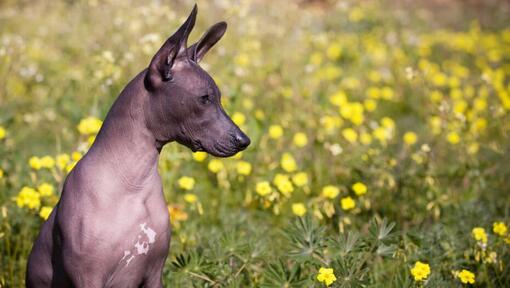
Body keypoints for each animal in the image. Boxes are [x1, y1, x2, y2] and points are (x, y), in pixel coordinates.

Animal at [26, 5, 250, 288]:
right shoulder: (88, 278)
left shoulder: (154, 274)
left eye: (218, 98)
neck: (133, 182)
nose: (244, 140)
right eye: (205, 98)